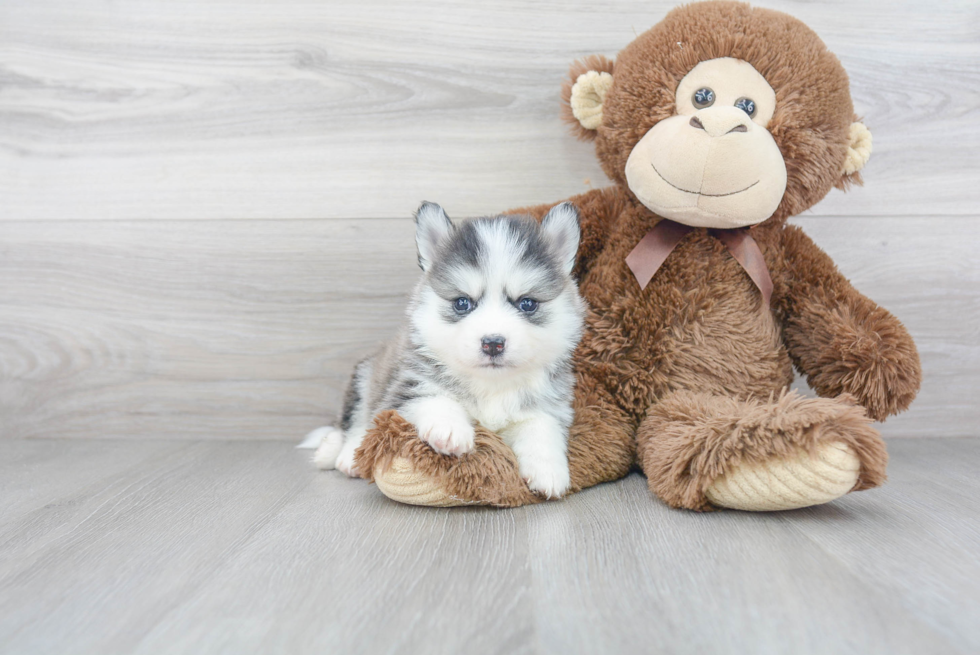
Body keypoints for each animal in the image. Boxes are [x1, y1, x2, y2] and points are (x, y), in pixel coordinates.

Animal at [308, 202, 580, 500]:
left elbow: (541, 426)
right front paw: (450, 429)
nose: (493, 343)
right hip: (365, 376)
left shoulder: (549, 404)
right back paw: (339, 453)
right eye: (462, 303)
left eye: (527, 304)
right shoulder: (407, 388)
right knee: (354, 421)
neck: (490, 386)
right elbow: (435, 398)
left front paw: (548, 470)